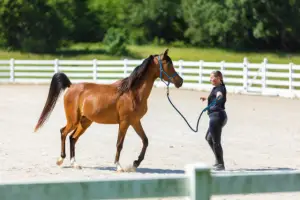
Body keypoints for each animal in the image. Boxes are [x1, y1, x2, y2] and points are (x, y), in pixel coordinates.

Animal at [32, 48, 183, 172]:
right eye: (168, 64)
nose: (180, 81)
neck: (132, 93)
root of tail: (70, 86)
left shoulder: (135, 121)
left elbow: (145, 141)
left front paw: (135, 163)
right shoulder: (124, 122)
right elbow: (119, 144)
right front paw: (119, 166)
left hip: (85, 122)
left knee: (72, 138)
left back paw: (75, 164)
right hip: (73, 120)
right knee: (63, 132)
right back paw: (60, 160)